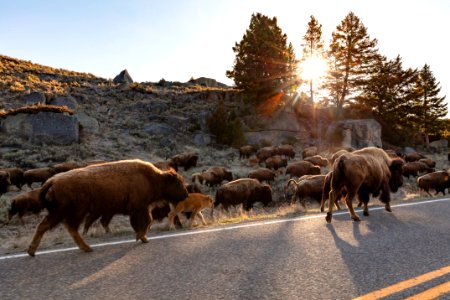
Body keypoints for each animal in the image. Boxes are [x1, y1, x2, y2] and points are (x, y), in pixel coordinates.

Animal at [26, 159, 188, 255]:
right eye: (178, 182)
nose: (186, 195)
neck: (154, 178)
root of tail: (52, 180)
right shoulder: (139, 207)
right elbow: (147, 221)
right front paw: (141, 237)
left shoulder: (139, 209)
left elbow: (143, 222)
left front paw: (142, 238)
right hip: (71, 212)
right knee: (69, 227)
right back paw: (87, 248)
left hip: (60, 212)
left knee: (46, 226)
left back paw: (31, 251)